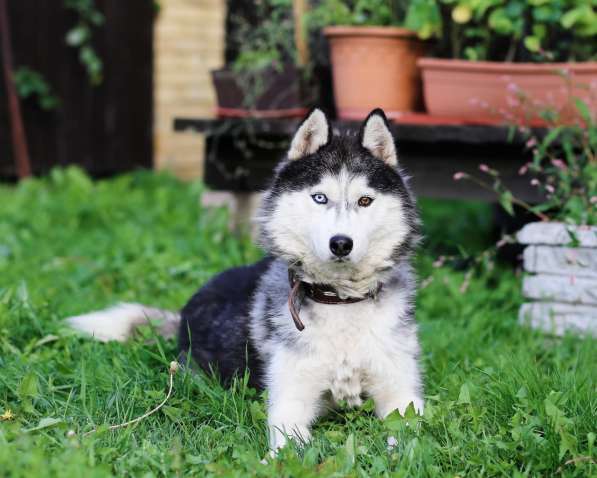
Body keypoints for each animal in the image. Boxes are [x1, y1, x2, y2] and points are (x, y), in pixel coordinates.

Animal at [68, 109, 424, 452]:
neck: (340, 301)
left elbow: (410, 435)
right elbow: (293, 448)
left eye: (365, 200)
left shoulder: (404, 396)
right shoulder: (288, 403)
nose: (340, 243)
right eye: (320, 198)